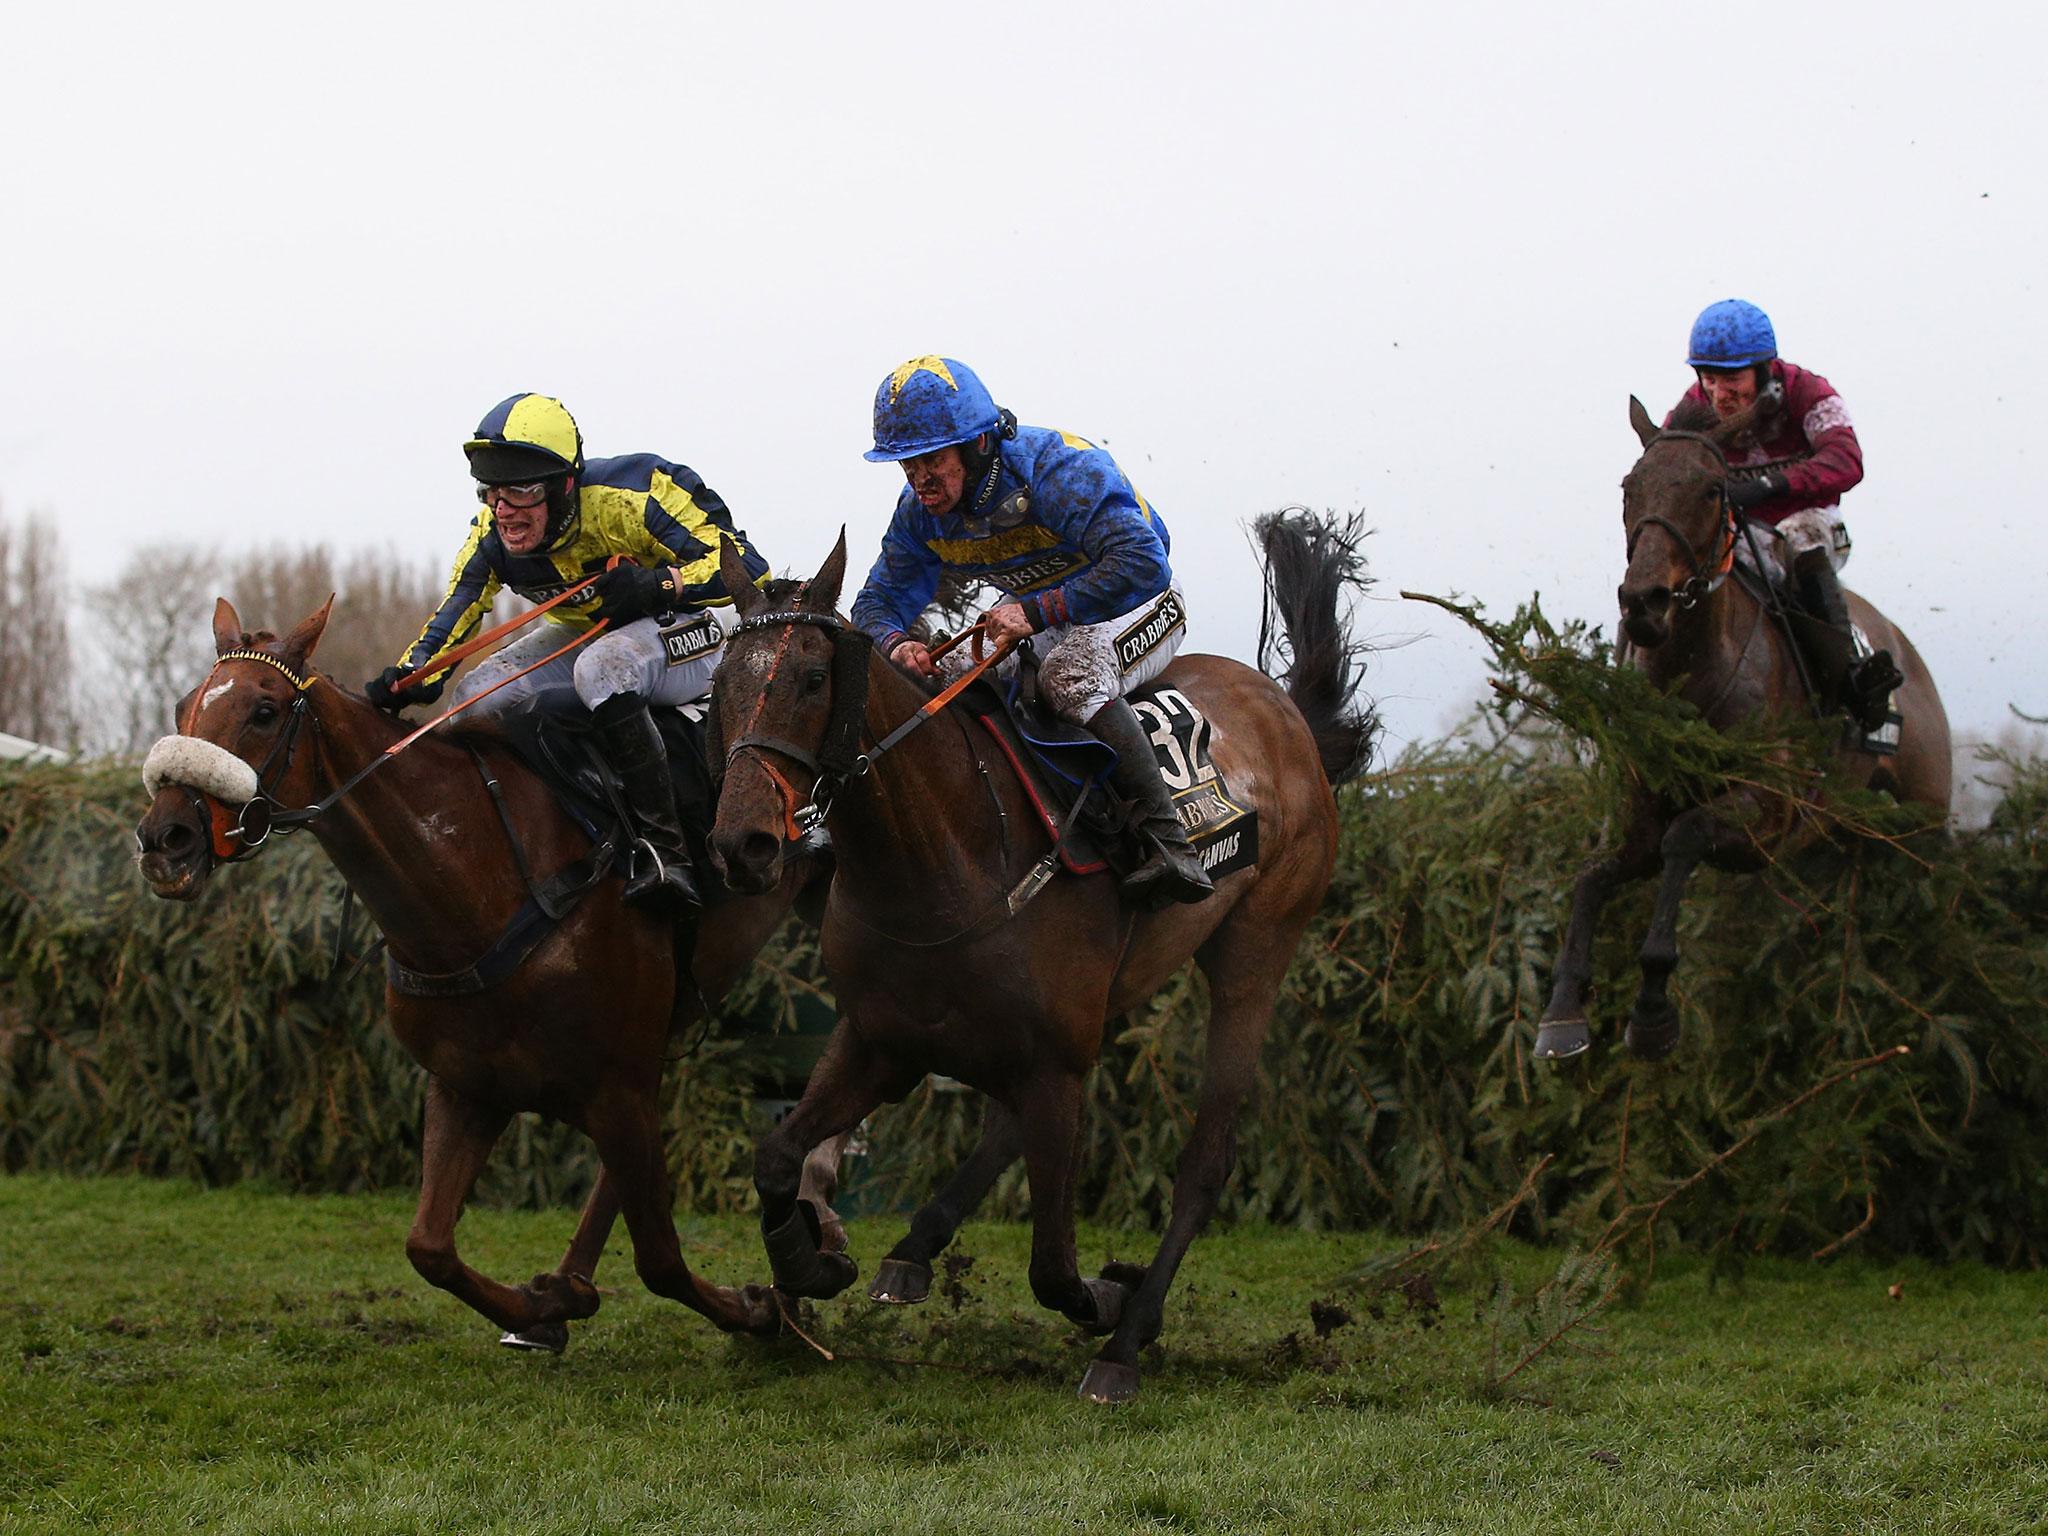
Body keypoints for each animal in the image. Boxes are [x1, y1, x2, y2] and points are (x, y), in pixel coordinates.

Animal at [134, 598, 831, 1343]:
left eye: (264, 711)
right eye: (183, 706)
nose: (164, 839)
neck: (480, 881)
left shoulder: (617, 1088)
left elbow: (662, 1261)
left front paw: (763, 1308)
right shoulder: (471, 1084)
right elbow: (429, 1248)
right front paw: (546, 1308)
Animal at [1540, 397, 1949, 1064]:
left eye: (1713, 489)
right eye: (1629, 487)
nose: (1644, 602)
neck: (1691, 677)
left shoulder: (1772, 810)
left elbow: (1683, 837)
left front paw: (1652, 1011)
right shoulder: (1639, 816)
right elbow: (1593, 876)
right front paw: (1561, 1012)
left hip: (1923, 817)